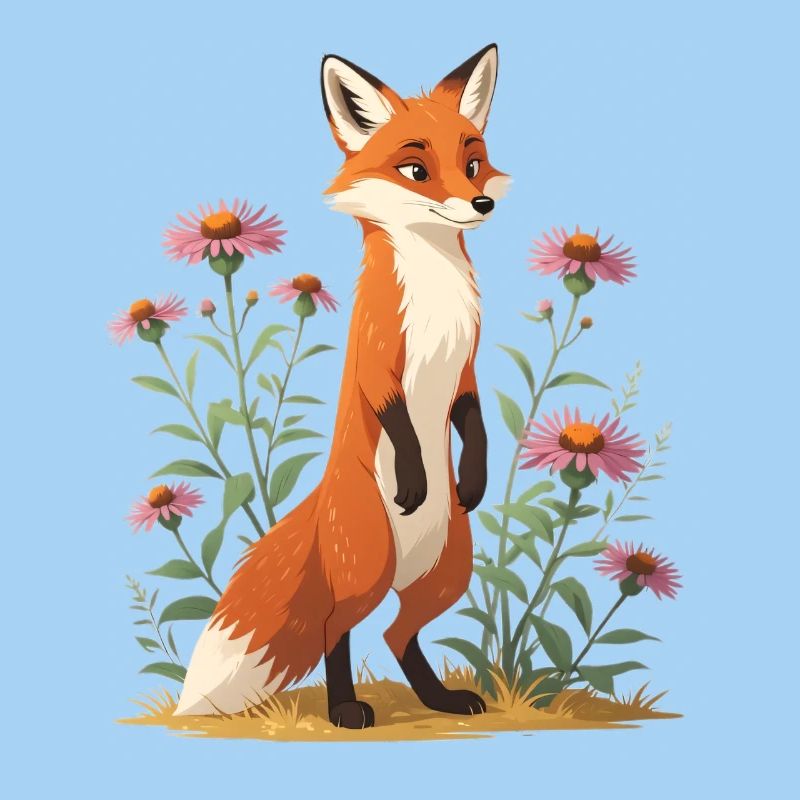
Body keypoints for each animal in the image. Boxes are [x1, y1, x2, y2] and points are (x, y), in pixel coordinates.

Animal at [174, 44, 510, 728]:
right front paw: (415, 477)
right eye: (416, 169)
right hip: (370, 566)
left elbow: (474, 421)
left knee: (396, 634)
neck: (435, 293)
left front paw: (474, 479)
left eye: (472, 163)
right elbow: (399, 420)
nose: (480, 205)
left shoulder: (466, 369)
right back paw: (345, 709)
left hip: (447, 575)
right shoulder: (378, 362)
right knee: (338, 628)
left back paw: (439, 698)